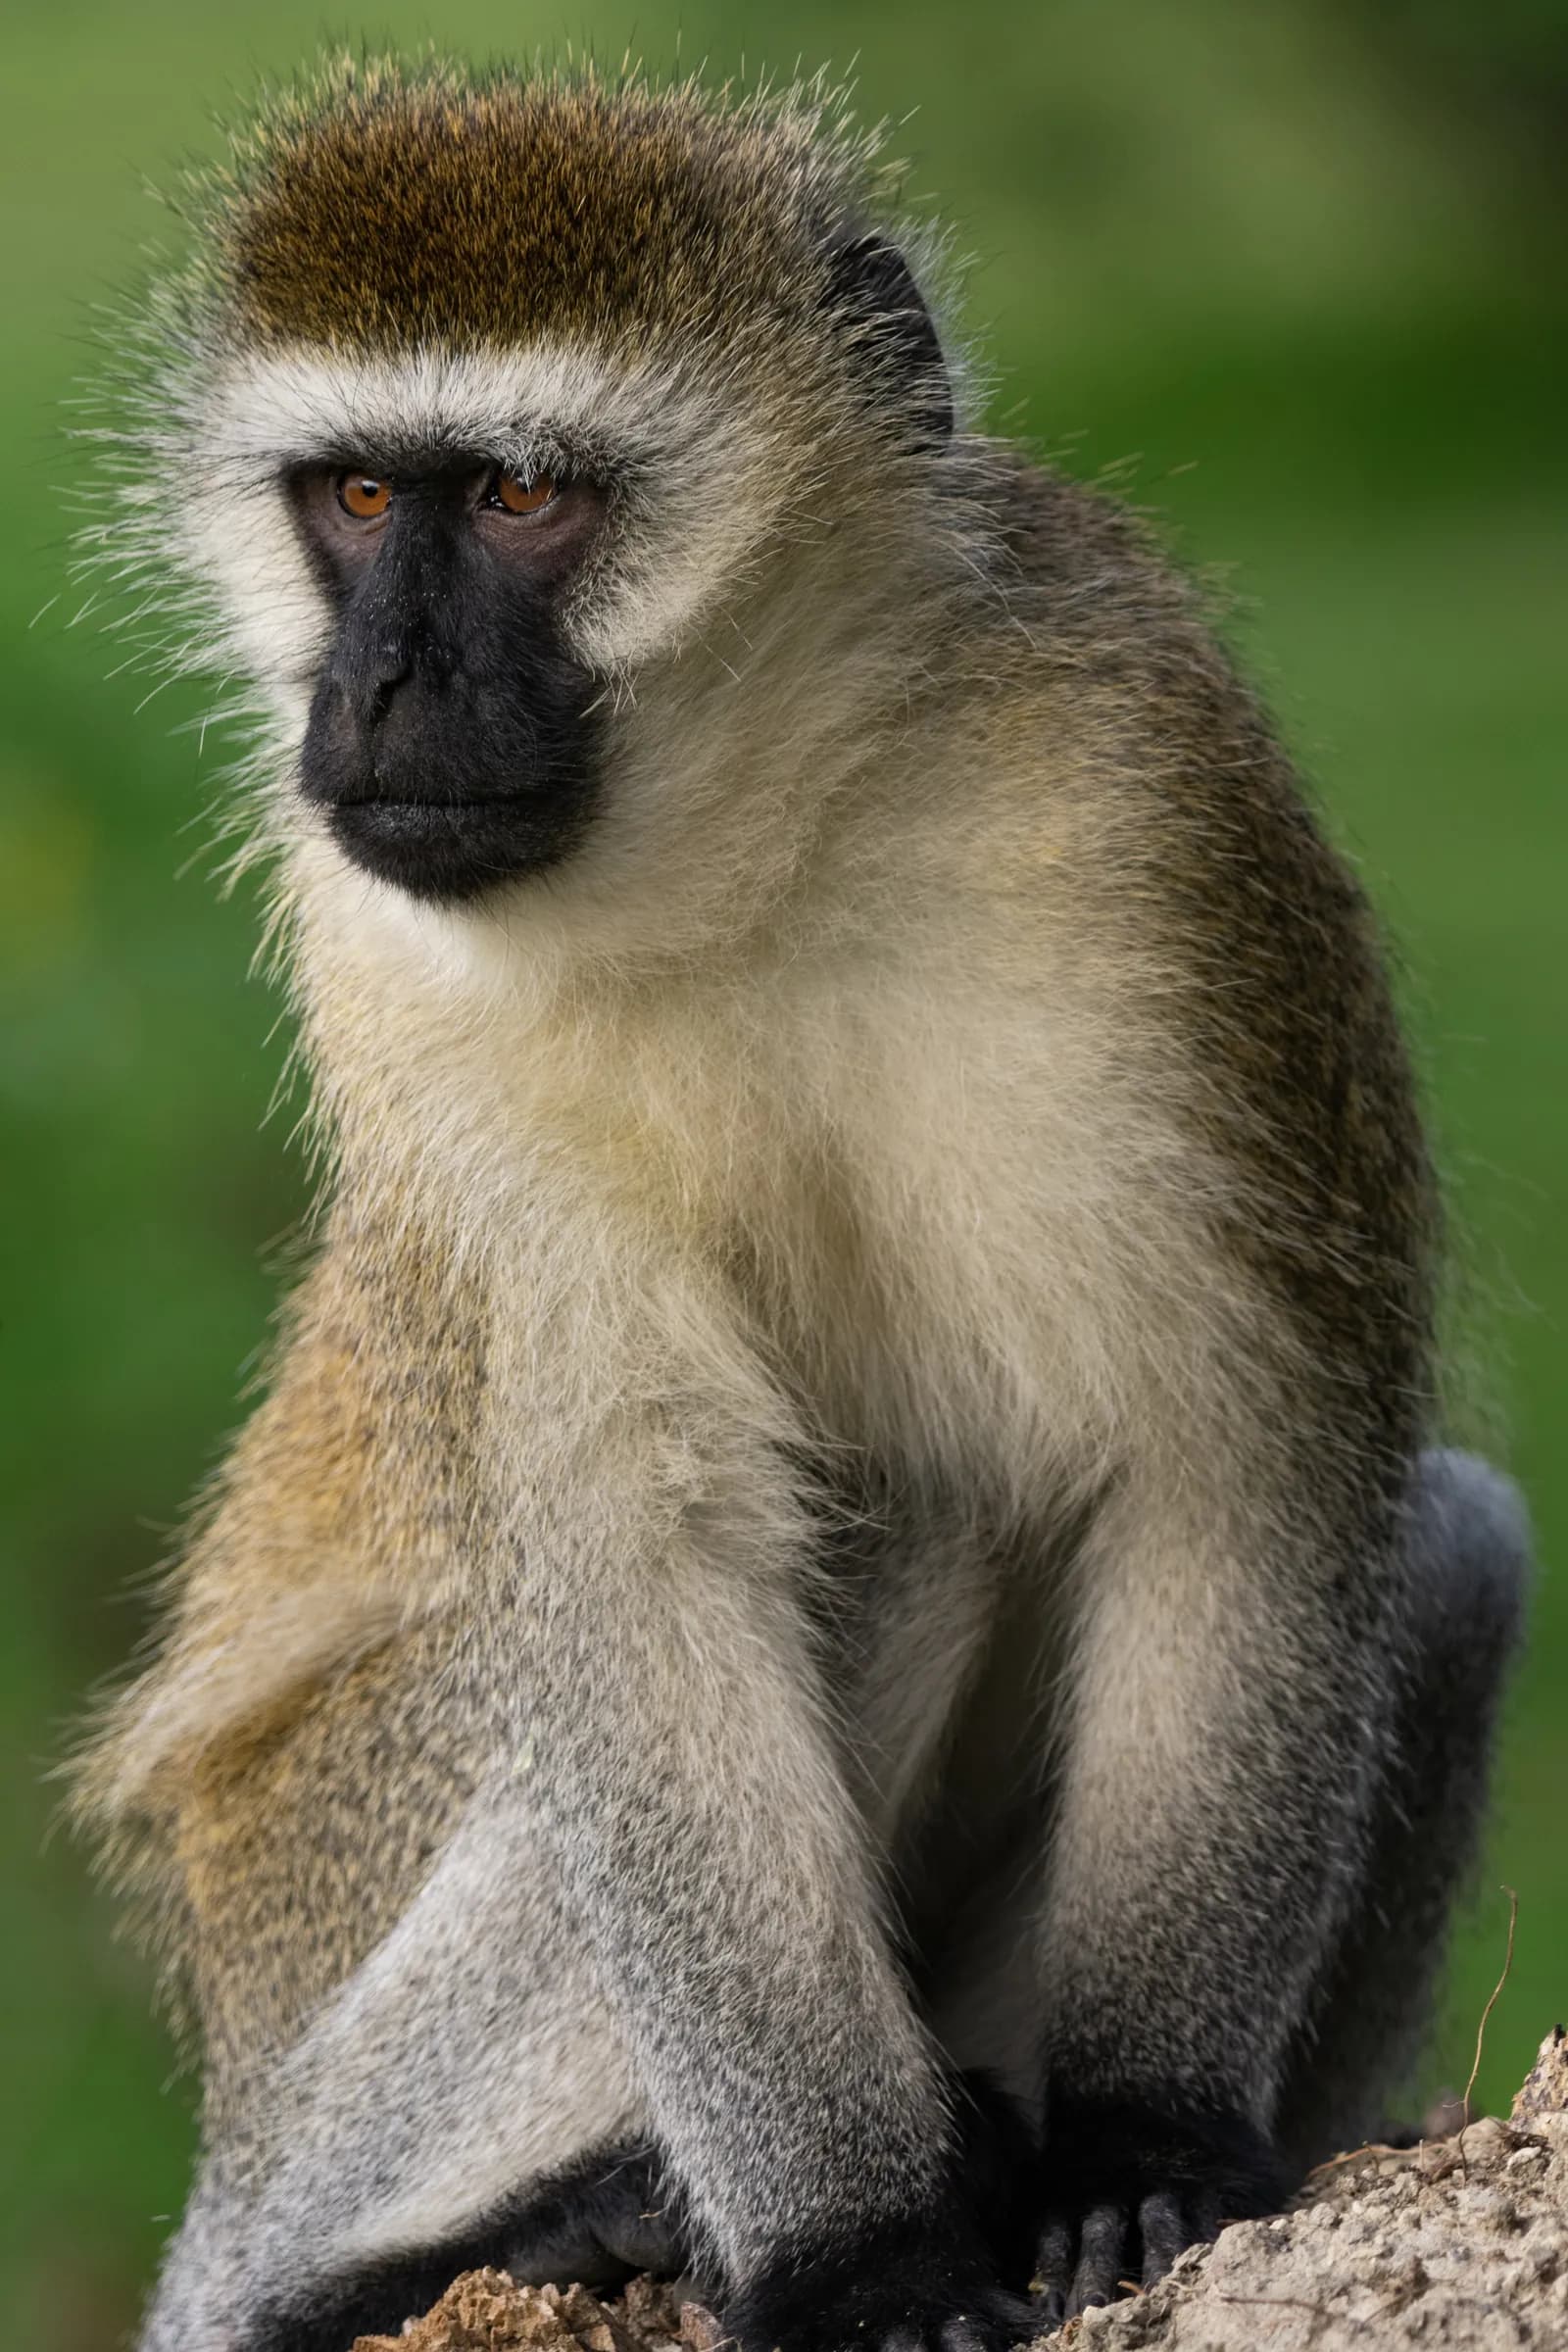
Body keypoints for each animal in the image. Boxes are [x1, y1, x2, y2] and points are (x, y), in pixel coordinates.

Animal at [71, 55, 1529, 2352]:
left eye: (519, 499)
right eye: (359, 503)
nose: (376, 690)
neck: (760, 830)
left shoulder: (1156, 806)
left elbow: (1237, 1453)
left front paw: (1140, 2140)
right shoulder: (388, 956)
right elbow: (631, 1567)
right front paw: (858, 2250)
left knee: (1432, 1544)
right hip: (310, 1879)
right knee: (888, 1521)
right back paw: (412, 2253)